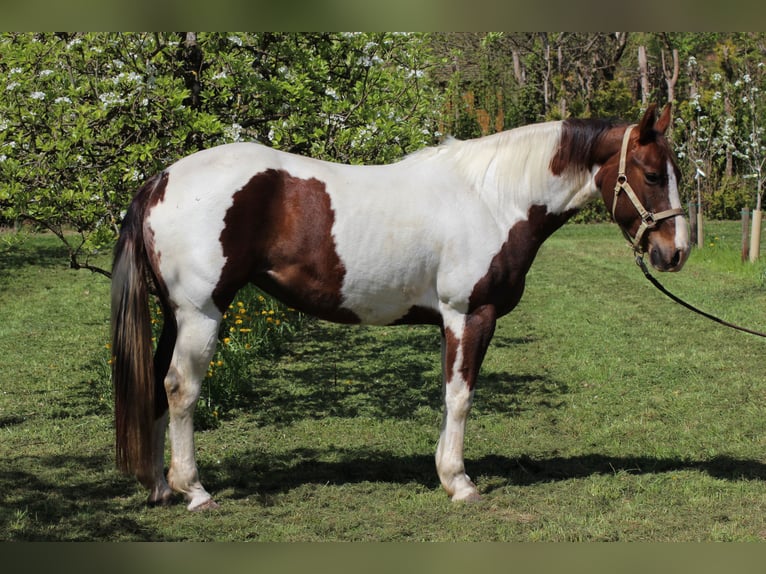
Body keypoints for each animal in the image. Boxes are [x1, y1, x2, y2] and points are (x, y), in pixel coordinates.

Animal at [111, 103, 690, 511]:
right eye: (651, 174)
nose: (676, 252)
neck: (492, 199)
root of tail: (161, 180)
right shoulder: (469, 315)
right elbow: (461, 397)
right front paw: (459, 482)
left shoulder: (450, 323)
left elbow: (448, 395)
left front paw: (446, 473)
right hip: (201, 314)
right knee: (181, 389)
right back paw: (194, 490)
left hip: (175, 316)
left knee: (157, 385)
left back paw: (160, 487)